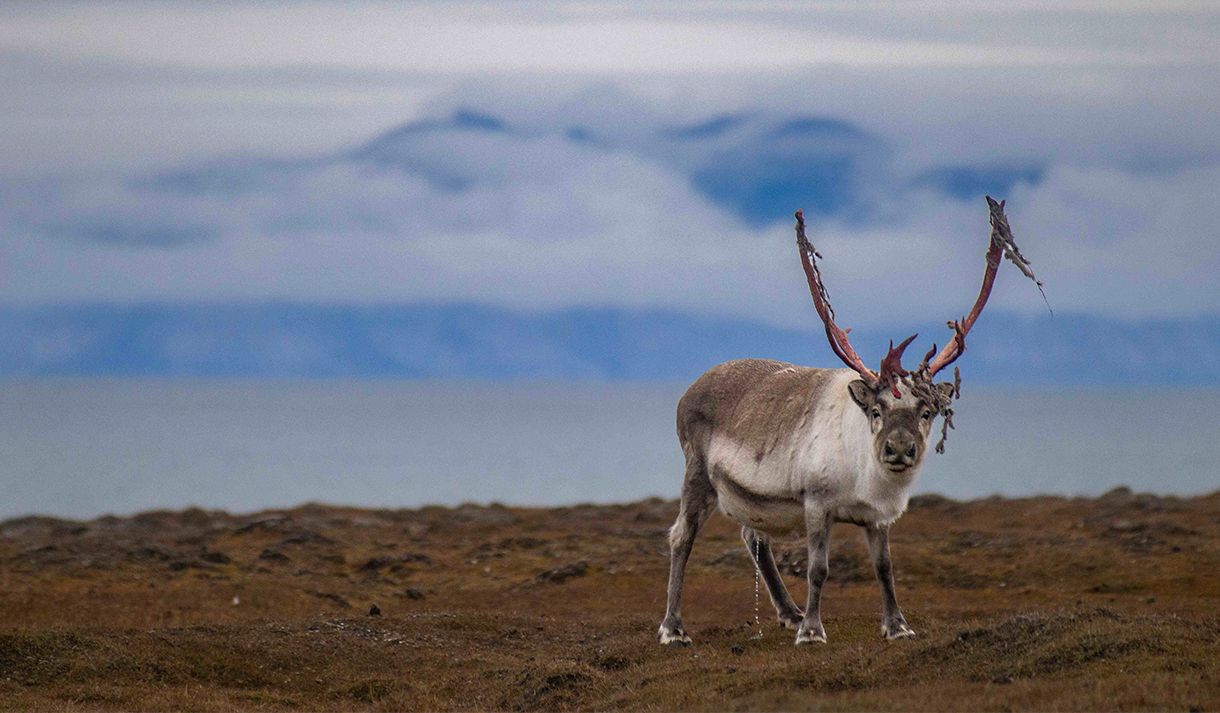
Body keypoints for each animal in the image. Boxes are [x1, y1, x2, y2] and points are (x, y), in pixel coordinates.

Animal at [658, 197, 1044, 647]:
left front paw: (897, 626)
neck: (865, 478)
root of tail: (687, 392)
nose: (899, 449)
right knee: (681, 536)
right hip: (697, 472)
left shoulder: (879, 517)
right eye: (876, 411)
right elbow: (818, 568)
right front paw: (812, 631)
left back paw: (787, 612)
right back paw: (674, 627)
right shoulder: (816, 503)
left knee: (753, 537)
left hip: (753, 499)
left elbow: (885, 568)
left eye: (927, 411)